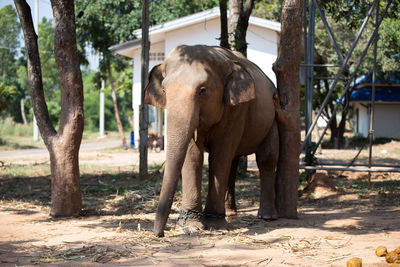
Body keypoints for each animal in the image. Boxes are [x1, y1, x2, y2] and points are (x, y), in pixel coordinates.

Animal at [144, 45, 278, 238]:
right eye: (164, 90)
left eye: (202, 90)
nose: (159, 234)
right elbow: (193, 156)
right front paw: (191, 225)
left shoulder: (236, 109)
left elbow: (219, 155)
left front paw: (214, 226)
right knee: (233, 163)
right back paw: (231, 213)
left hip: (272, 117)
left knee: (266, 157)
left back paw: (266, 216)